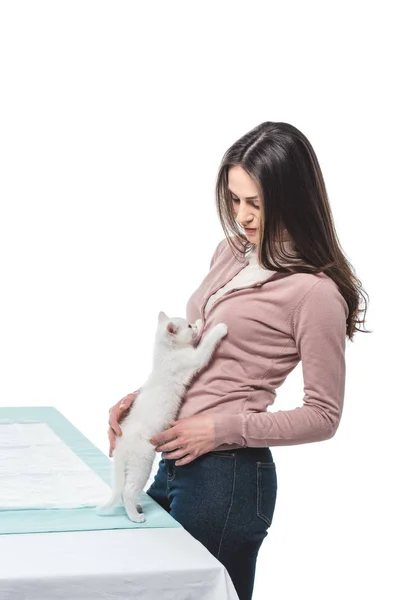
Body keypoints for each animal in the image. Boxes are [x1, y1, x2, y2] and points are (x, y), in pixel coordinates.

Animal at [96, 312, 228, 524]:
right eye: (188, 326)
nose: (194, 325)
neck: (165, 353)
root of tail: (121, 444)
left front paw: (201, 323)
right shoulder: (194, 358)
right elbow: (207, 343)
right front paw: (217, 328)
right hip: (142, 465)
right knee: (127, 492)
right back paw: (135, 516)